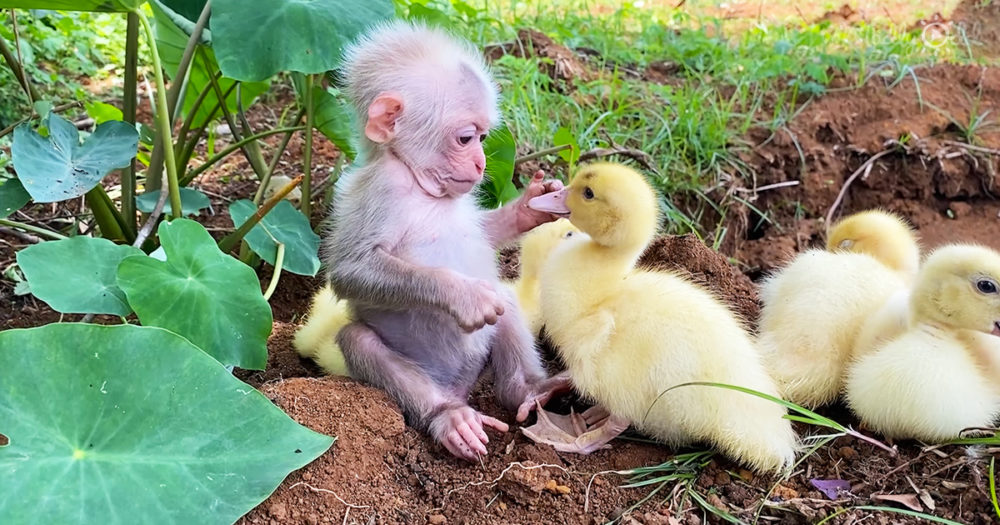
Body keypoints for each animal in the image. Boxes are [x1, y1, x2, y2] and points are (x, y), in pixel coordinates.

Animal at [322, 21, 571, 461]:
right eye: (466, 138)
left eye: (485, 138)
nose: (481, 164)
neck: (419, 183)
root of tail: (458, 385)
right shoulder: (381, 190)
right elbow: (351, 271)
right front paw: (462, 295)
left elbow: (485, 235)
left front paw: (529, 208)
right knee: (359, 340)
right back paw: (449, 417)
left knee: (505, 302)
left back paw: (531, 390)